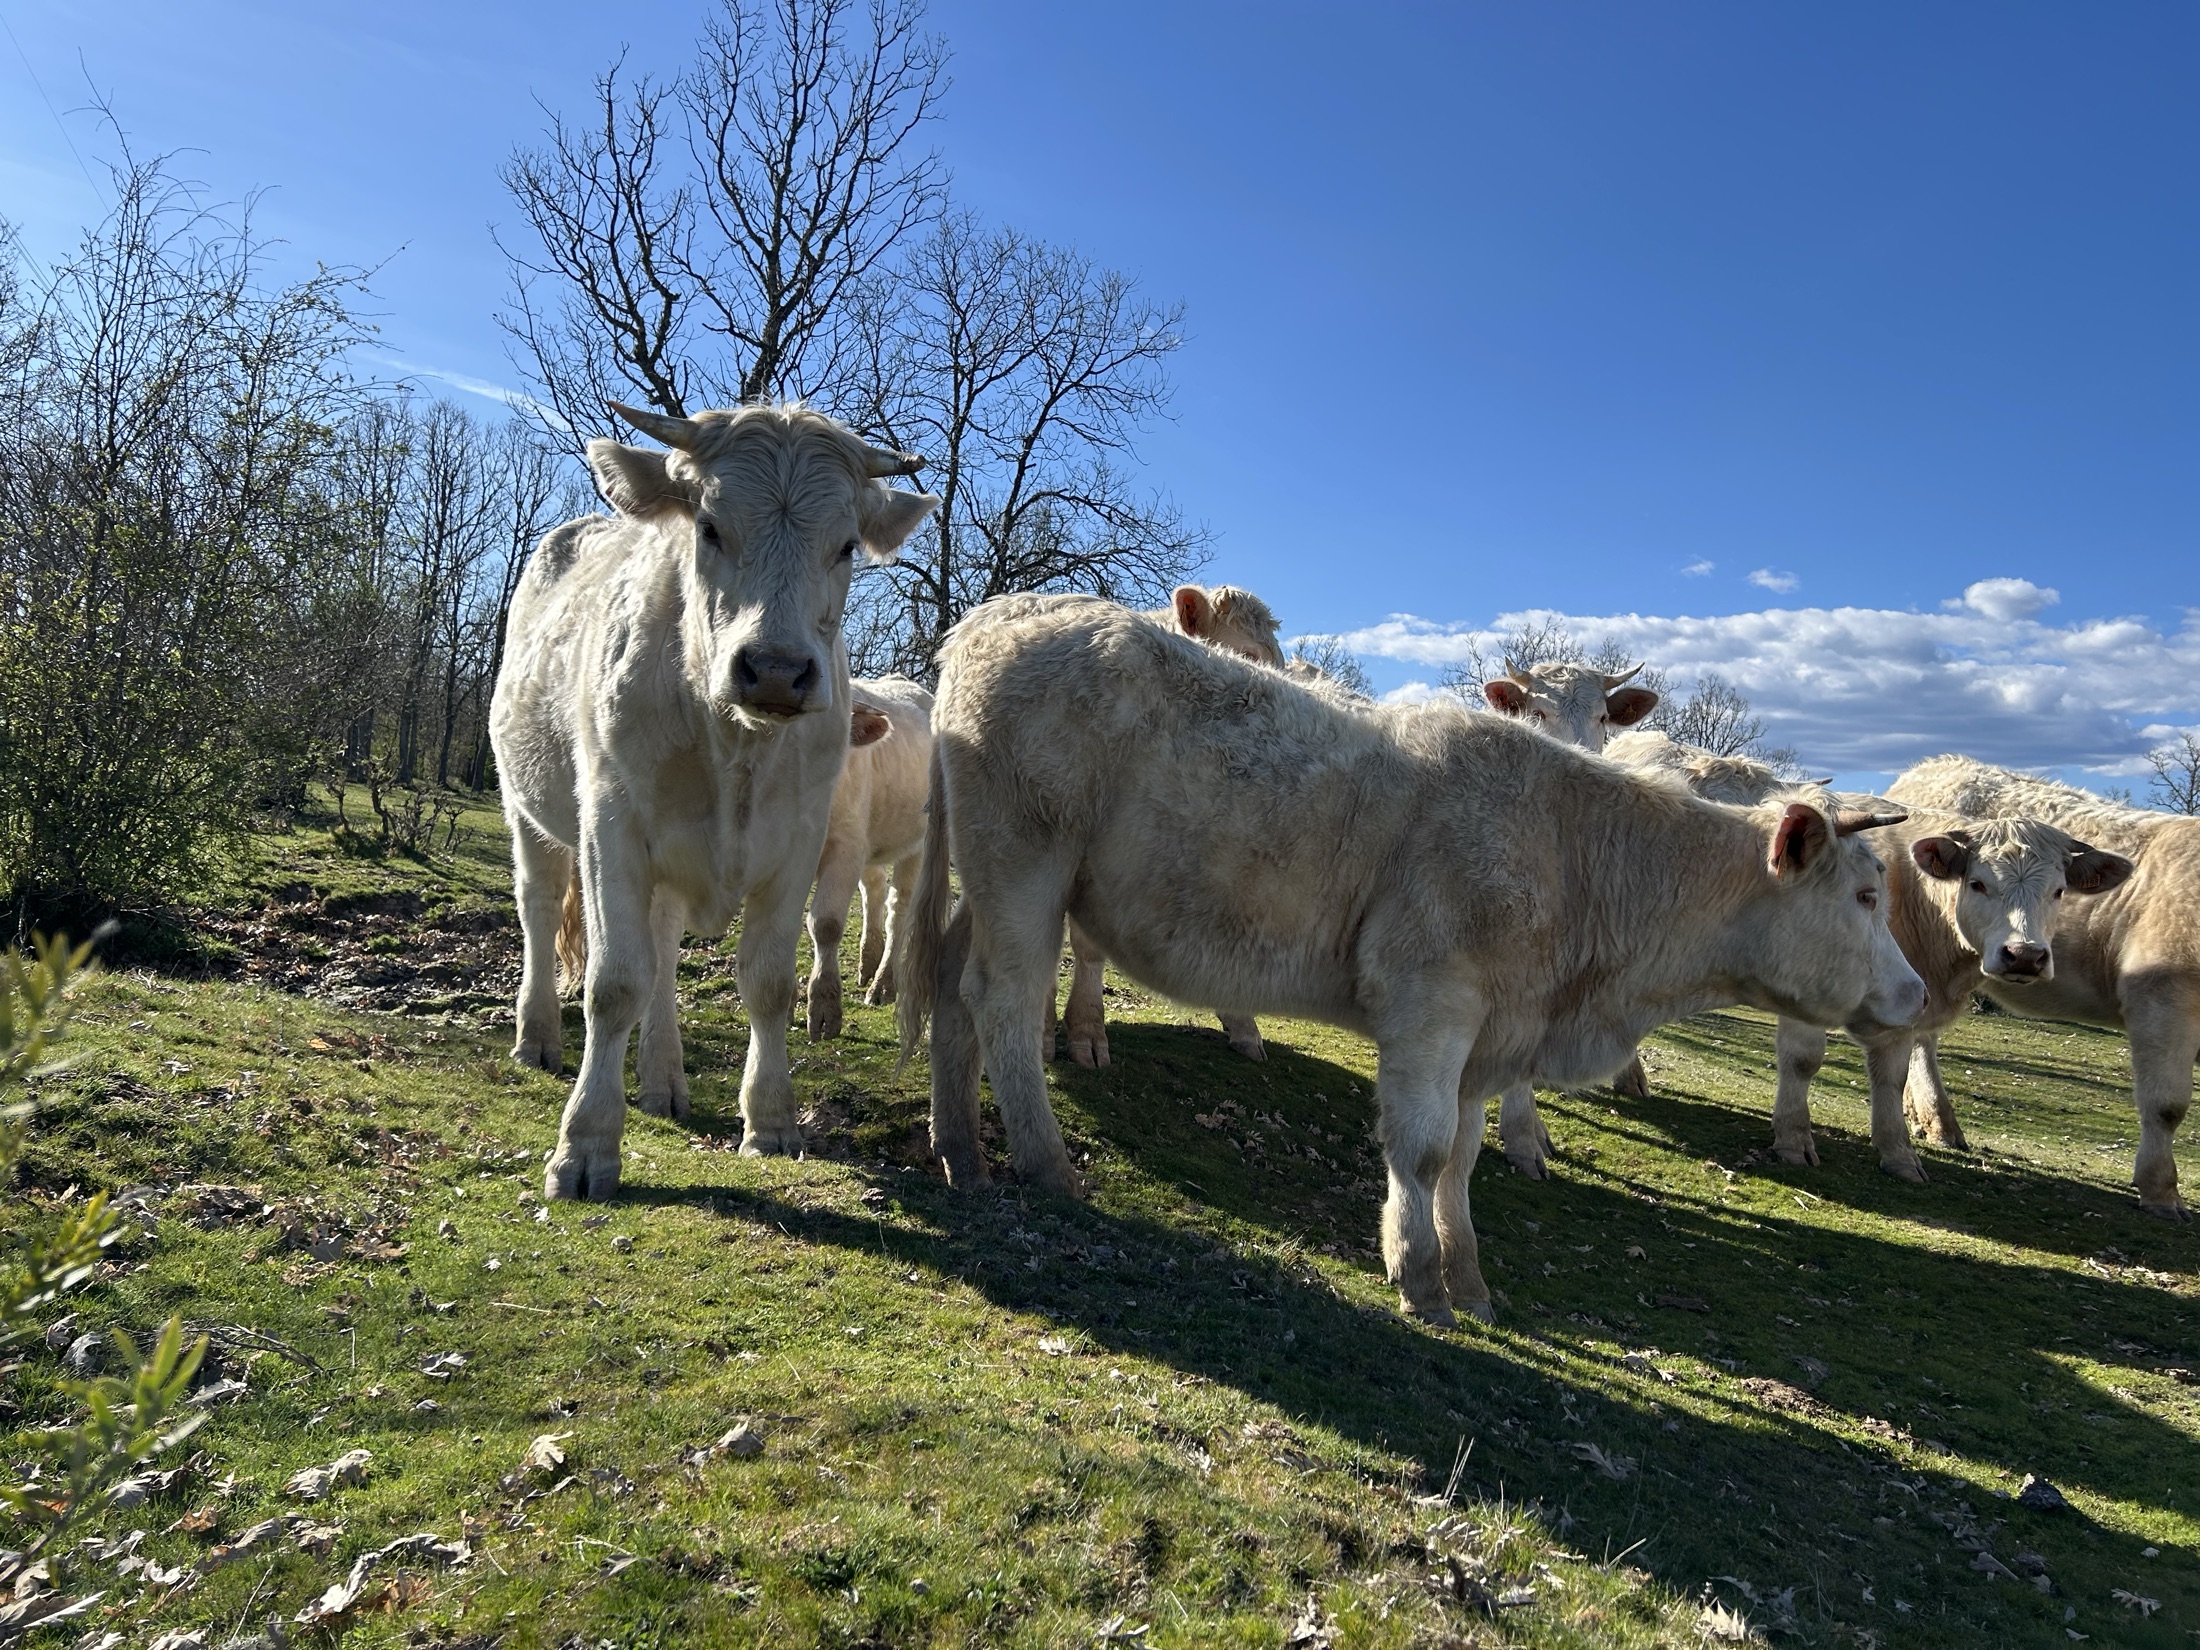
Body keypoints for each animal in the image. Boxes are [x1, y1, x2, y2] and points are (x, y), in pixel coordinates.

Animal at [806, 675, 935, 1040]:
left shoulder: (846, 846)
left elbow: (826, 924)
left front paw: (823, 1009)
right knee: (874, 890)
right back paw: (869, 962)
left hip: (917, 842)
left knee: (900, 908)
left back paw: (883, 983)